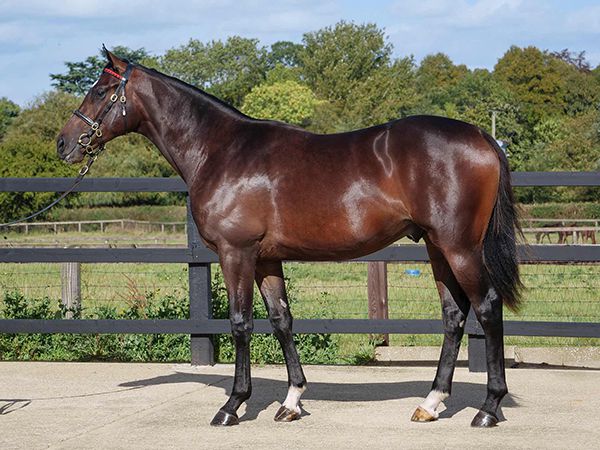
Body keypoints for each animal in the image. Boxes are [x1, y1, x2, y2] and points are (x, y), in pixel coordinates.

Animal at [58, 49, 524, 428]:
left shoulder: (236, 253)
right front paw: (292, 401)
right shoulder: (265, 259)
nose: (63, 144)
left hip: (459, 247)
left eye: (101, 90)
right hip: (435, 246)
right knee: (453, 315)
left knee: (486, 307)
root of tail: (482, 136)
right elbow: (281, 320)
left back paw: (487, 408)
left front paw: (233, 405)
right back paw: (430, 403)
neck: (221, 150)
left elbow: (241, 323)